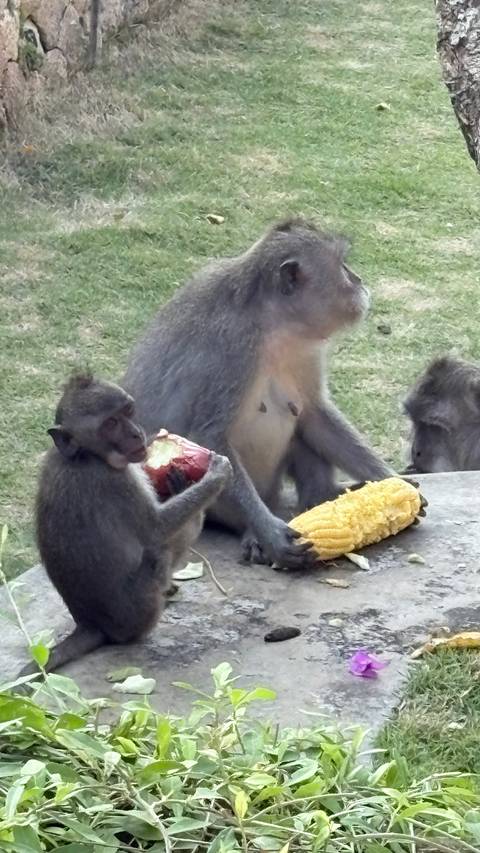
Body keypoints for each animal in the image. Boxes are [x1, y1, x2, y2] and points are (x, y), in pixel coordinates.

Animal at [19, 373, 232, 678]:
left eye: (128, 411)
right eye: (110, 423)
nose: (135, 433)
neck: (86, 455)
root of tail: (90, 623)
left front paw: (179, 481)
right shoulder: (117, 481)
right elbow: (158, 529)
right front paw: (217, 474)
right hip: (142, 608)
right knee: (164, 546)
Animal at [123, 218, 393, 571]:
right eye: (342, 265)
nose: (358, 280)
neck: (272, 323)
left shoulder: (305, 349)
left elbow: (314, 414)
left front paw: (392, 481)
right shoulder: (232, 348)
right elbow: (210, 435)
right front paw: (270, 533)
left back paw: (320, 498)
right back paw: (254, 531)